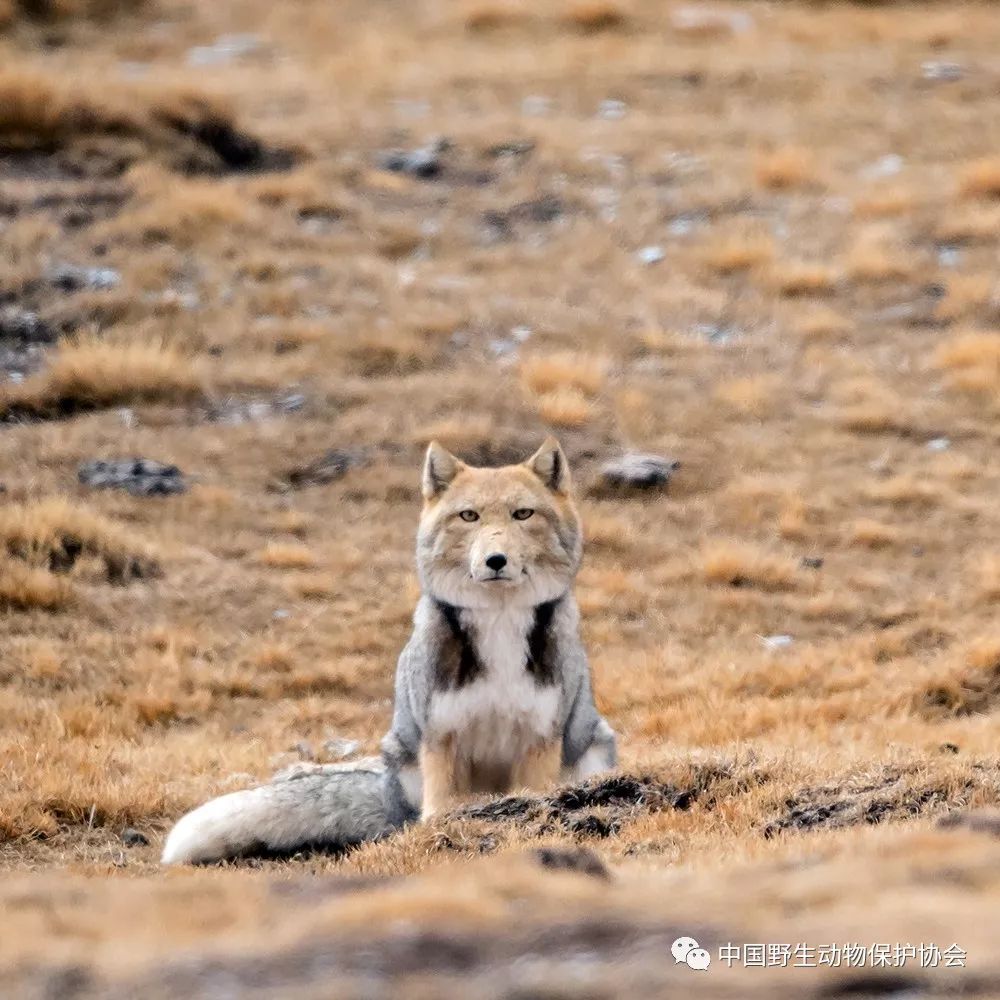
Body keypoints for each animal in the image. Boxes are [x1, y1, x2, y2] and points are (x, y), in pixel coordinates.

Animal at [162, 442, 616, 864]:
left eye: (523, 514)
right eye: (469, 516)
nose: (495, 560)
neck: (500, 628)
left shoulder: (538, 740)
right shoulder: (441, 736)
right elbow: (439, 809)